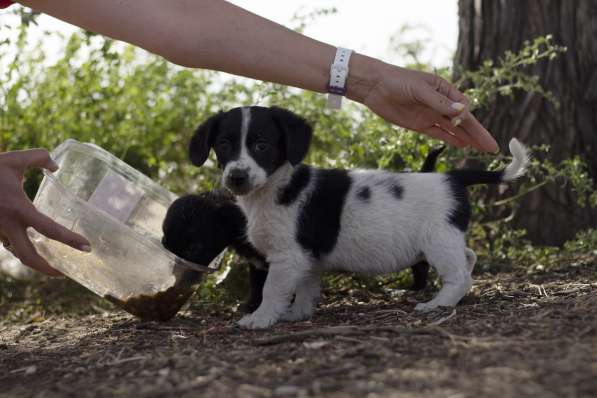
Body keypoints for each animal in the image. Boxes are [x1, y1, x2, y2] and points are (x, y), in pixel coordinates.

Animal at [189, 106, 528, 330]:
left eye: (261, 145)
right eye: (223, 145)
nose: (236, 177)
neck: (276, 187)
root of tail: (454, 178)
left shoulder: (287, 257)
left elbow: (272, 290)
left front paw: (260, 318)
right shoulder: (308, 260)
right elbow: (306, 289)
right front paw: (297, 314)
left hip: (438, 241)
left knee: (458, 276)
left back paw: (437, 304)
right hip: (447, 238)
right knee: (468, 258)